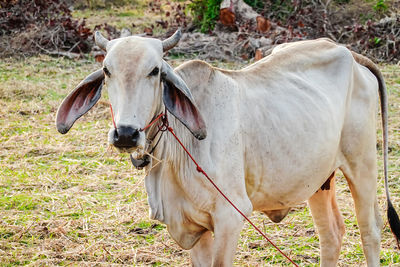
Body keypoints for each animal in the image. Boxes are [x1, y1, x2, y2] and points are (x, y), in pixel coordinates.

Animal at [54, 28, 398, 266]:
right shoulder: (194, 227)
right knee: (331, 235)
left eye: (154, 71)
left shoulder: (230, 216)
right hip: (319, 179)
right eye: (107, 71)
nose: (125, 134)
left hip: (362, 164)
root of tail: (348, 53)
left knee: (370, 229)